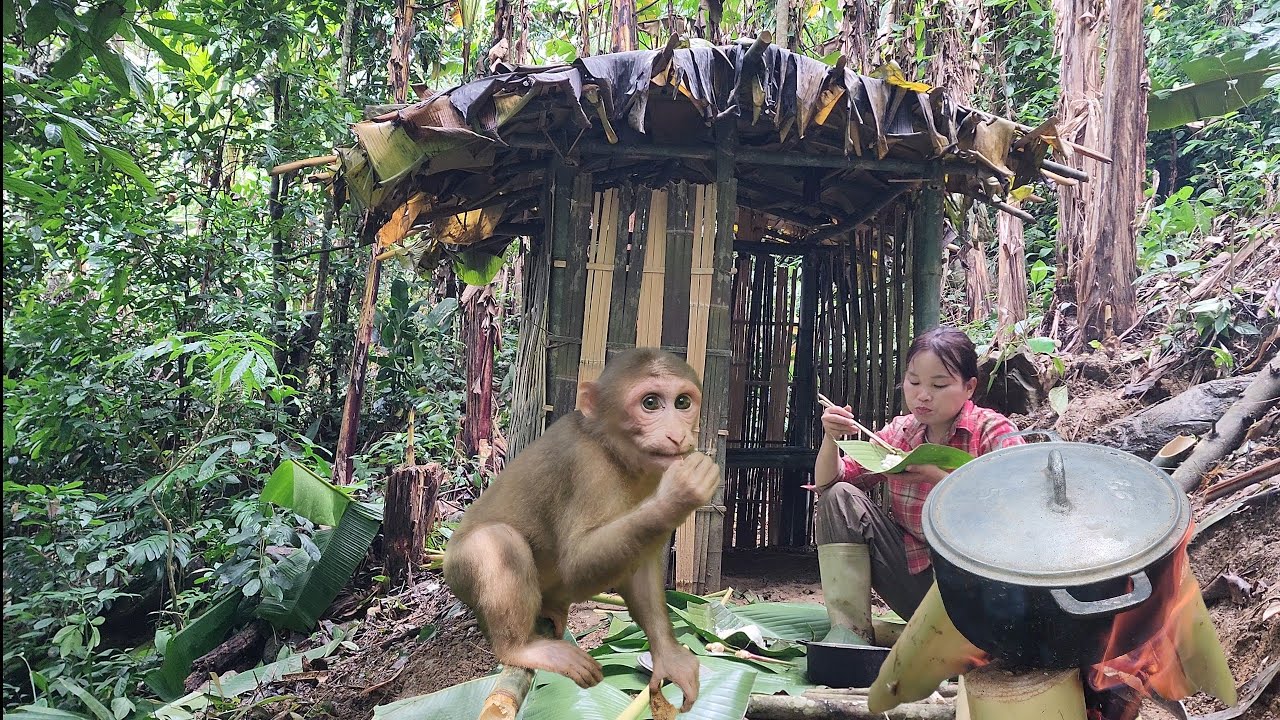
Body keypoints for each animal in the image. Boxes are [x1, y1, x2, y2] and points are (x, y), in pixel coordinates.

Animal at [443, 348, 721, 712]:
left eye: (683, 402)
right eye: (650, 403)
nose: (677, 434)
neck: (612, 451)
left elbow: (638, 568)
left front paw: (669, 657)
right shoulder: (587, 467)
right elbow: (575, 564)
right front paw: (681, 493)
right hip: (458, 573)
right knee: (496, 541)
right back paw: (519, 648)